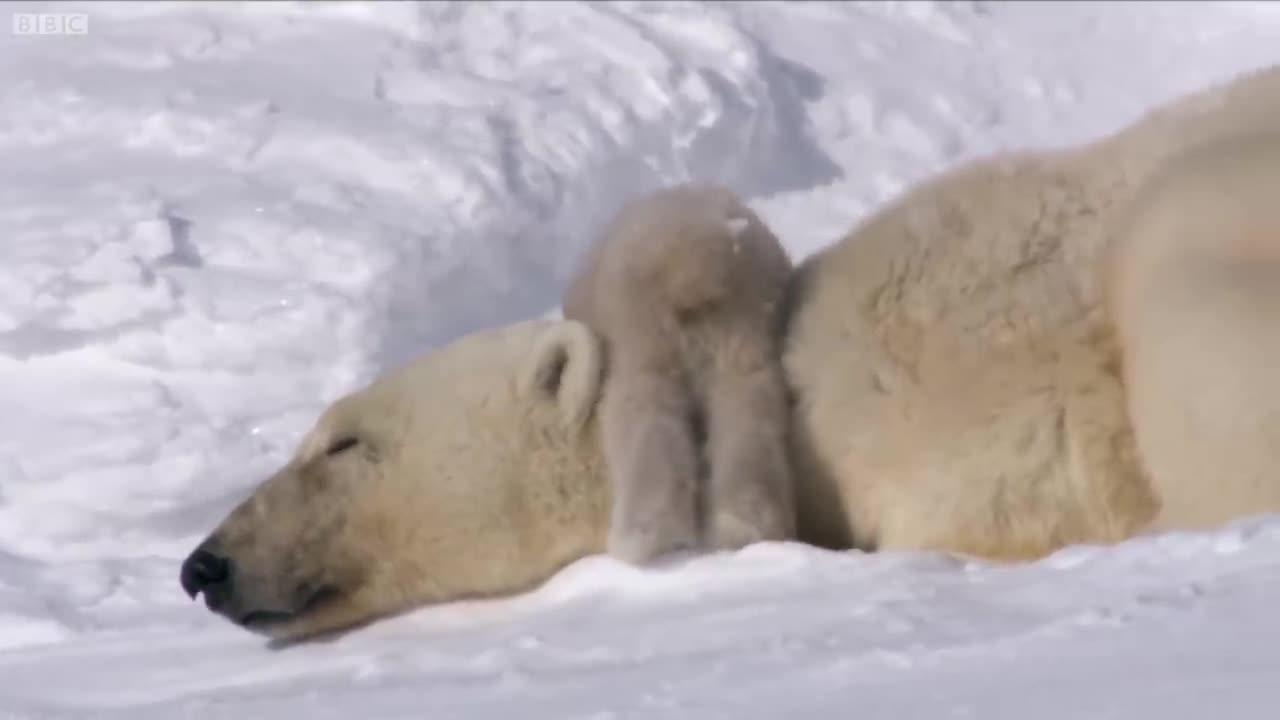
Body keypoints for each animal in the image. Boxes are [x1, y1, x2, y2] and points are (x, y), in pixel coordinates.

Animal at [565, 183, 793, 561]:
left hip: (645, 346)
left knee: (647, 422)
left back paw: (644, 536)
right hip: (743, 344)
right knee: (748, 417)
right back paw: (742, 526)